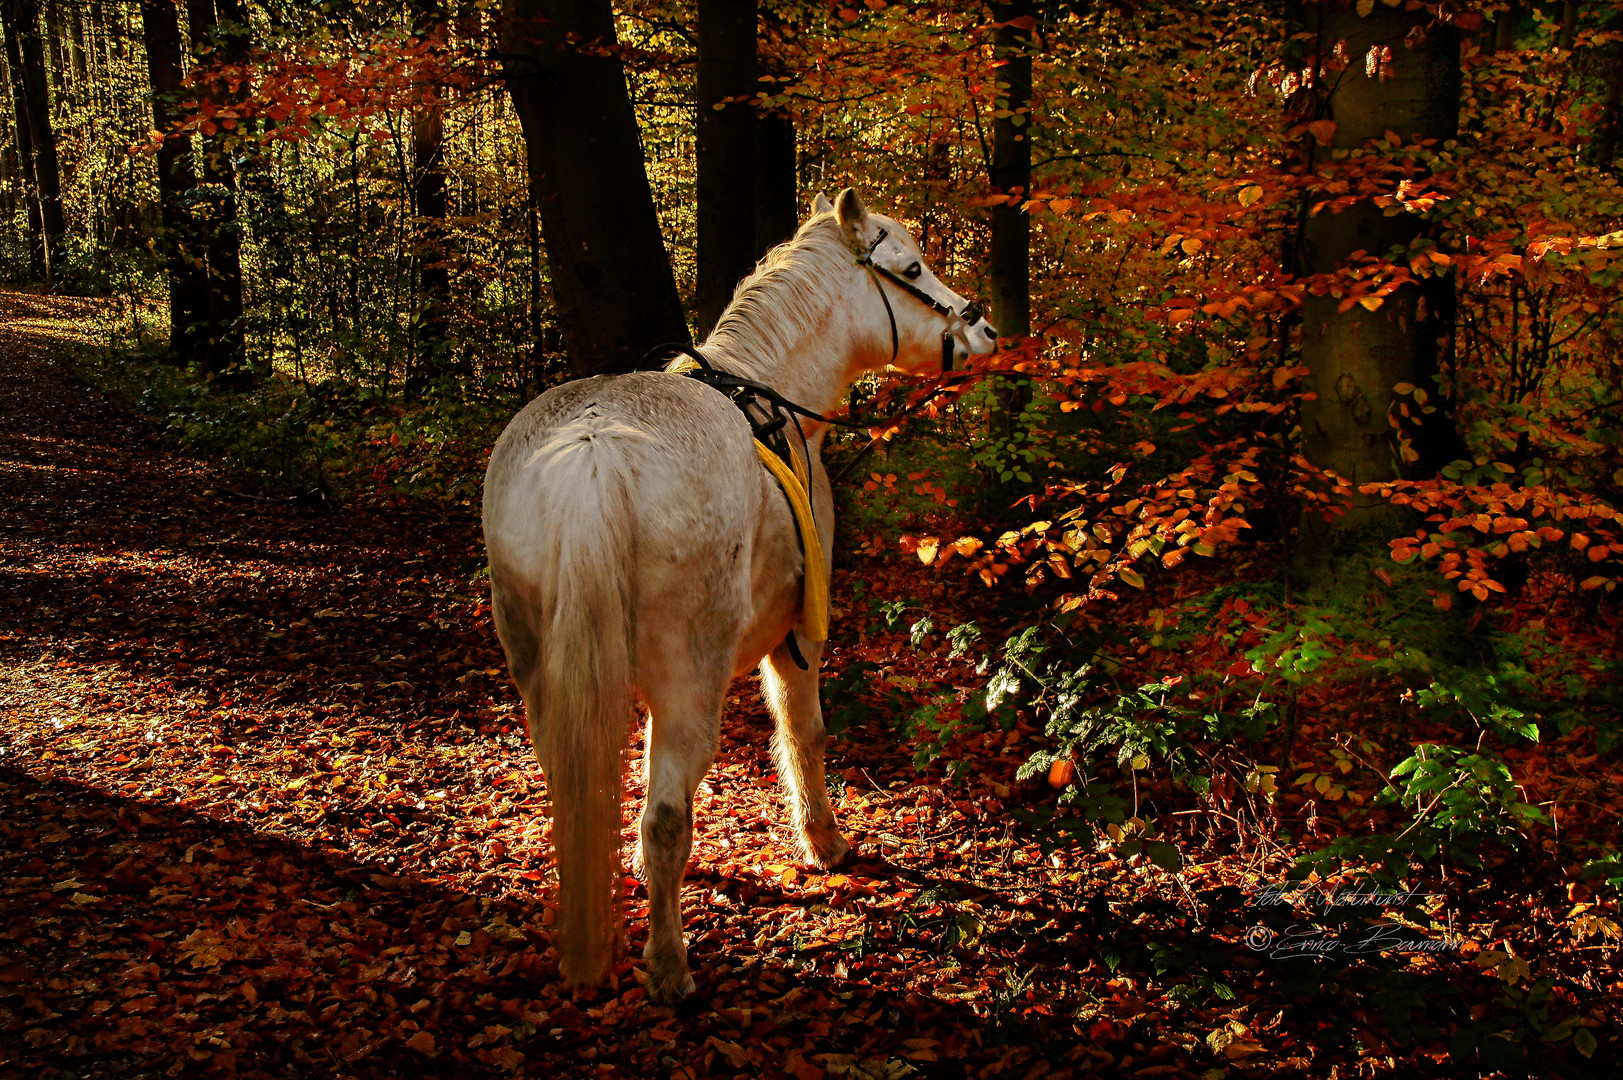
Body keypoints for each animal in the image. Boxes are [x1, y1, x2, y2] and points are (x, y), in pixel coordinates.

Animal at [473, 187, 993, 1000]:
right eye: (910, 269)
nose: (981, 328)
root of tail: (593, 453)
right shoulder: (798, 637)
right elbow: (804, 735)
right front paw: (823, 840)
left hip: (540, 673)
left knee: (578, 794)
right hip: (691, 684)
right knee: (663, 820)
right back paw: (669, 966)